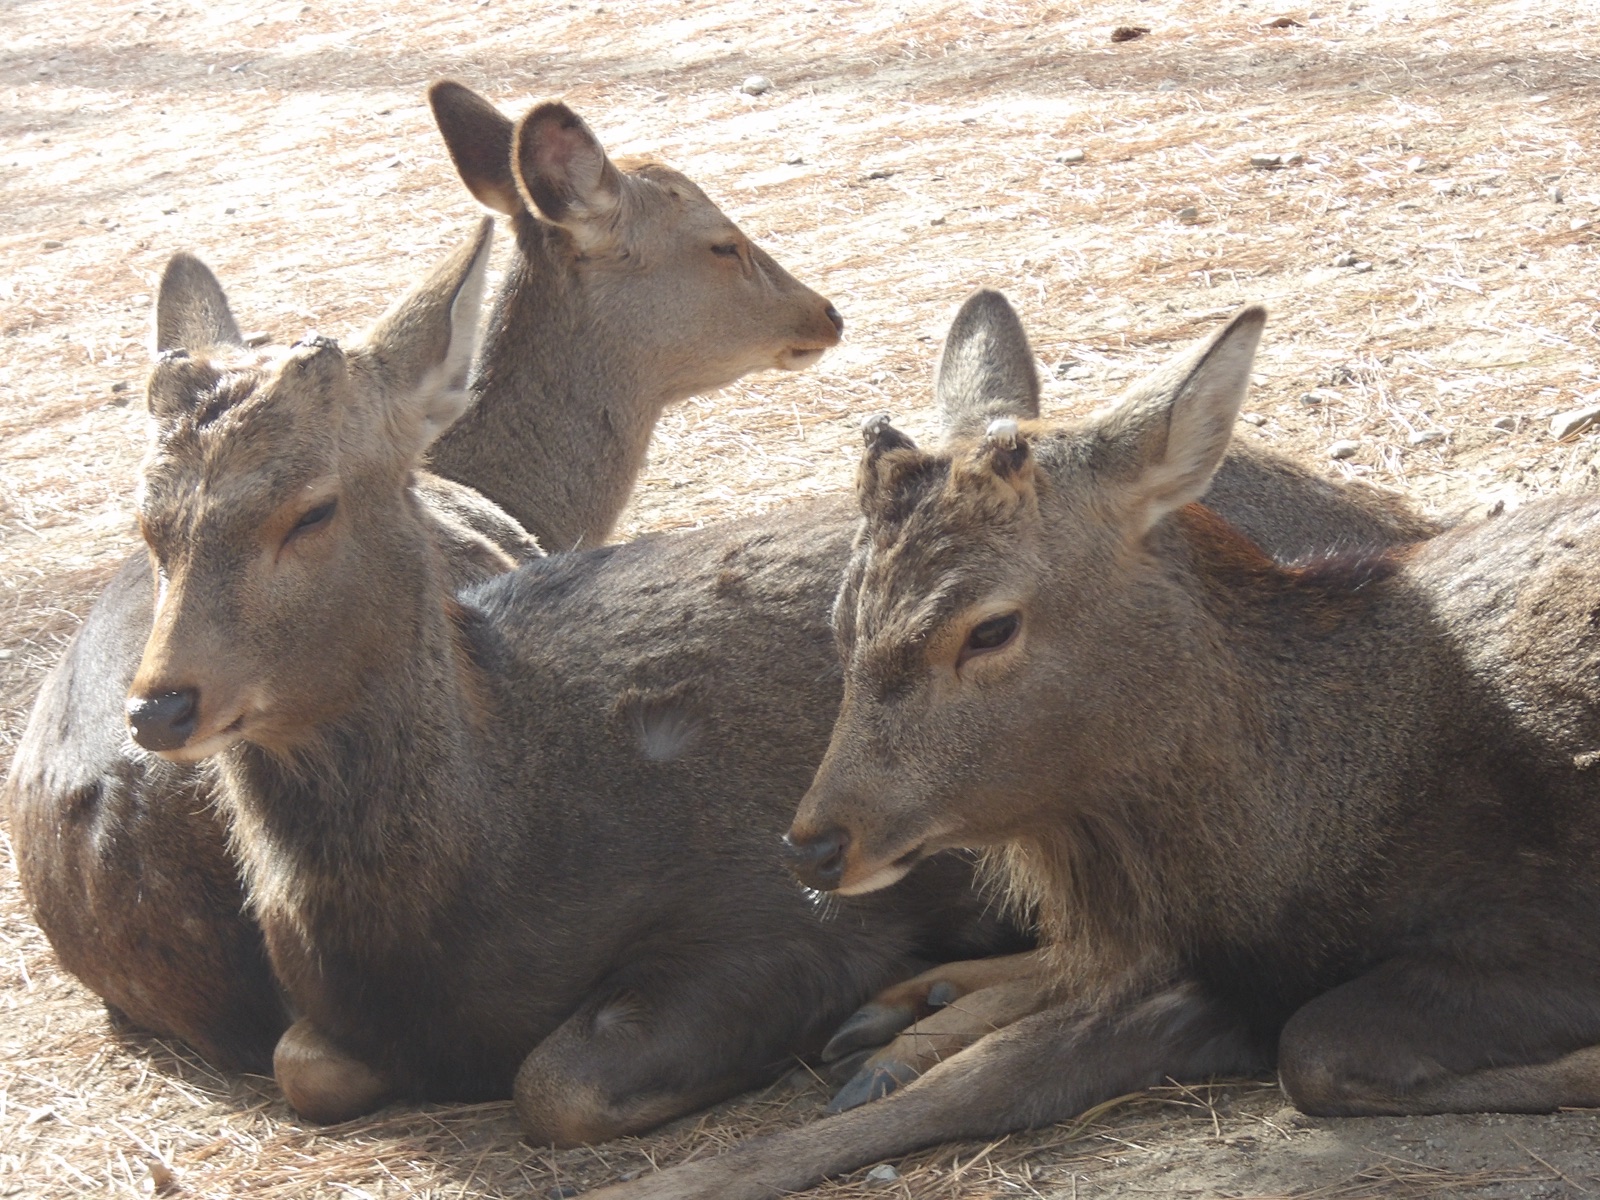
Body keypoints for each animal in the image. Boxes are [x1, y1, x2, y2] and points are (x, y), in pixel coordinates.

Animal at [582, 296, 1600, 1200]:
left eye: (990, 627)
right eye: (842, 618)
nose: (816, 844)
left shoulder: (1548, 926)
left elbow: (1317, 1049)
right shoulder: (1225, 974)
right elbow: (991, 1073)